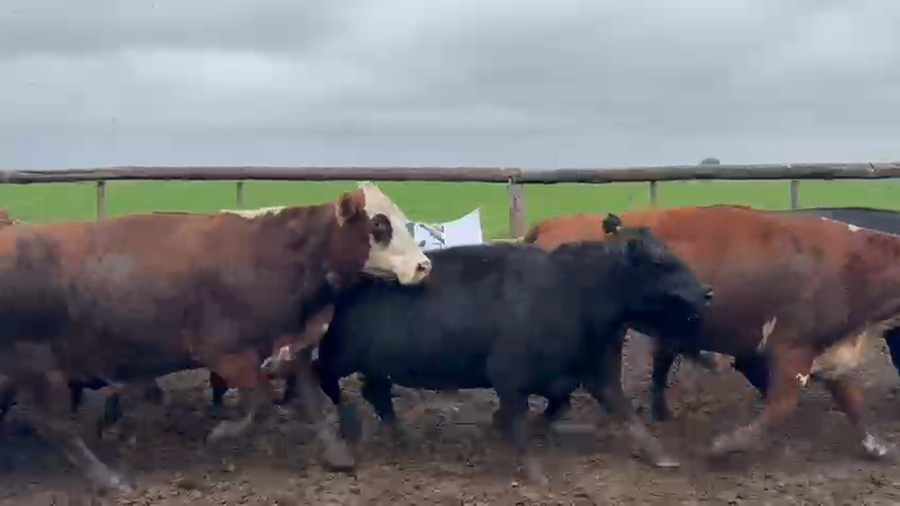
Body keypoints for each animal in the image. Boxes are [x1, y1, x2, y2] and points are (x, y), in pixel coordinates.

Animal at [0, 183, 432, 494]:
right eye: (379, 225)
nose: (423, 266)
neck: (270, 254)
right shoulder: (228, 353)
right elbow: (259, 404)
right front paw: (220, 435)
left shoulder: (287, 344)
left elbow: (311, 401)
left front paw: (337, 454)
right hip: (36, 364)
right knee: (55, 424)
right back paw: (110, 479)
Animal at [309, 215, 713, 484]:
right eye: (660, 262)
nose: (706, 291)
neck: (573, 291)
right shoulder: (507, 373)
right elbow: (519, 418)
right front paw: (533, 472)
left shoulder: (596, 371)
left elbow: (616, 411)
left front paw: (661, 456)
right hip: (337, 354)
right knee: (324, 381)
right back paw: (348, 427)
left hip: (375, 364)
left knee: (376, 392)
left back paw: (399, 436)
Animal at [523, 205, 900, 461]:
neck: (850, 266)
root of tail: (554, 222)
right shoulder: (790, 350)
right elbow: (779, 408)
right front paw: (724, 446)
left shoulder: (832, 352)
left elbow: (853, 403)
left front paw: (878, 447)